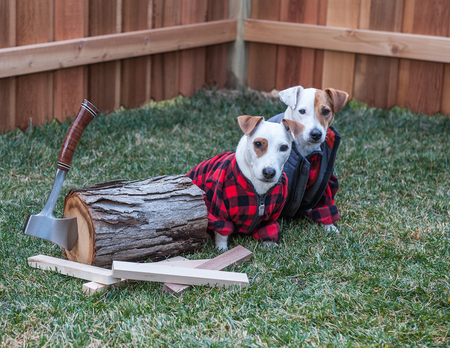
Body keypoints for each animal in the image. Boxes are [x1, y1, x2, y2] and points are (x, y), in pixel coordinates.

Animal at [185, 115, 304, 249]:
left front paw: (270, 245)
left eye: (284, 147)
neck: (258, 188)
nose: (269, 172)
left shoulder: (271, 217)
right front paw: (222, 249)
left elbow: (269, 229)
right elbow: (222, 233)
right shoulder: (219, 212)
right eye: (258, 144)